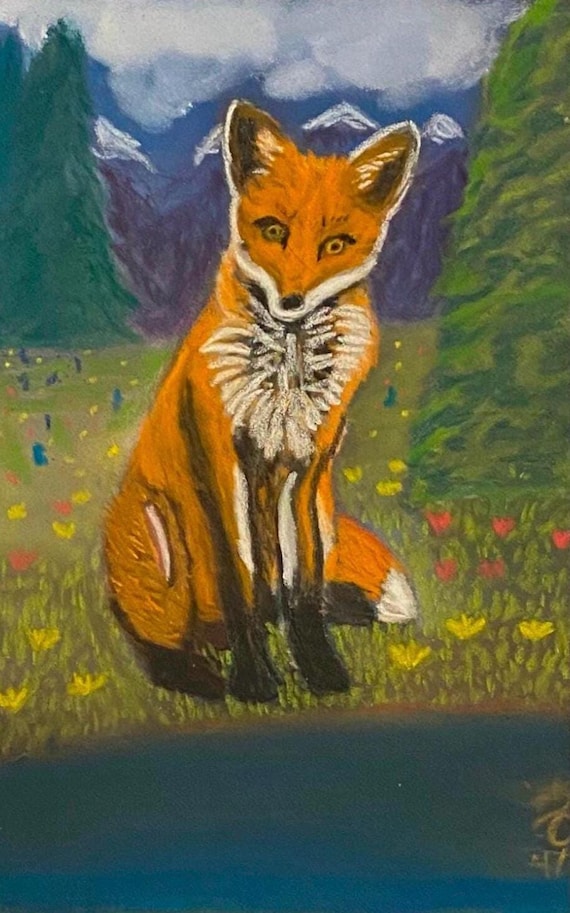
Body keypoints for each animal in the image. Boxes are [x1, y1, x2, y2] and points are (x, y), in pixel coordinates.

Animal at [104, 100, 421, 703]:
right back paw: (199, 674)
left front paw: (321, 671)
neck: (288, 372)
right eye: (273, 230)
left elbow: (303, 591)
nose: (291, 301)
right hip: (160, 537)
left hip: (323, 511)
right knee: (168, 636)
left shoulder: (307, 468)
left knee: (283, 594)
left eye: (336, 244)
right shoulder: (225, 466)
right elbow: (242, 587)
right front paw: (254, 681)